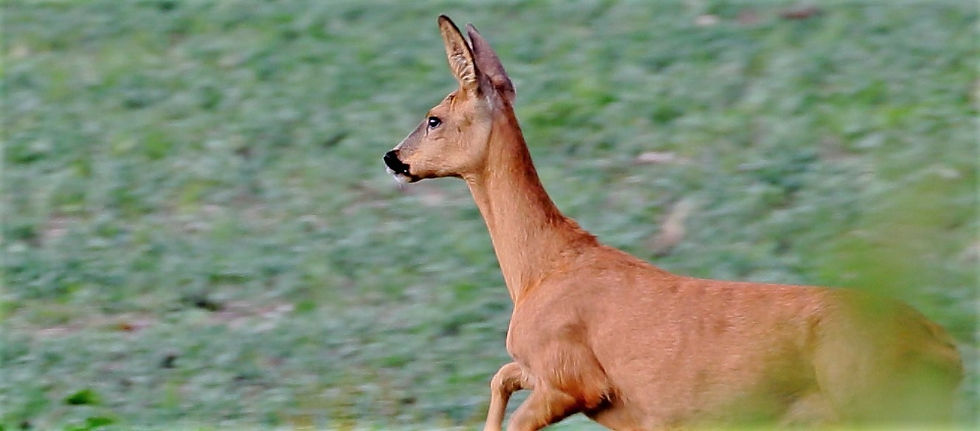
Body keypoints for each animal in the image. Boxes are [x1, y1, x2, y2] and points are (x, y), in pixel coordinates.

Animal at [382, 15, 963, 430]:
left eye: (433, 118)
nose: (392, 158)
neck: (539, 270)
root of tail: (944, 347)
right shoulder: (552, 373)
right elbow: (501, 376)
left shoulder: (577, 377)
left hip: (868, 399)